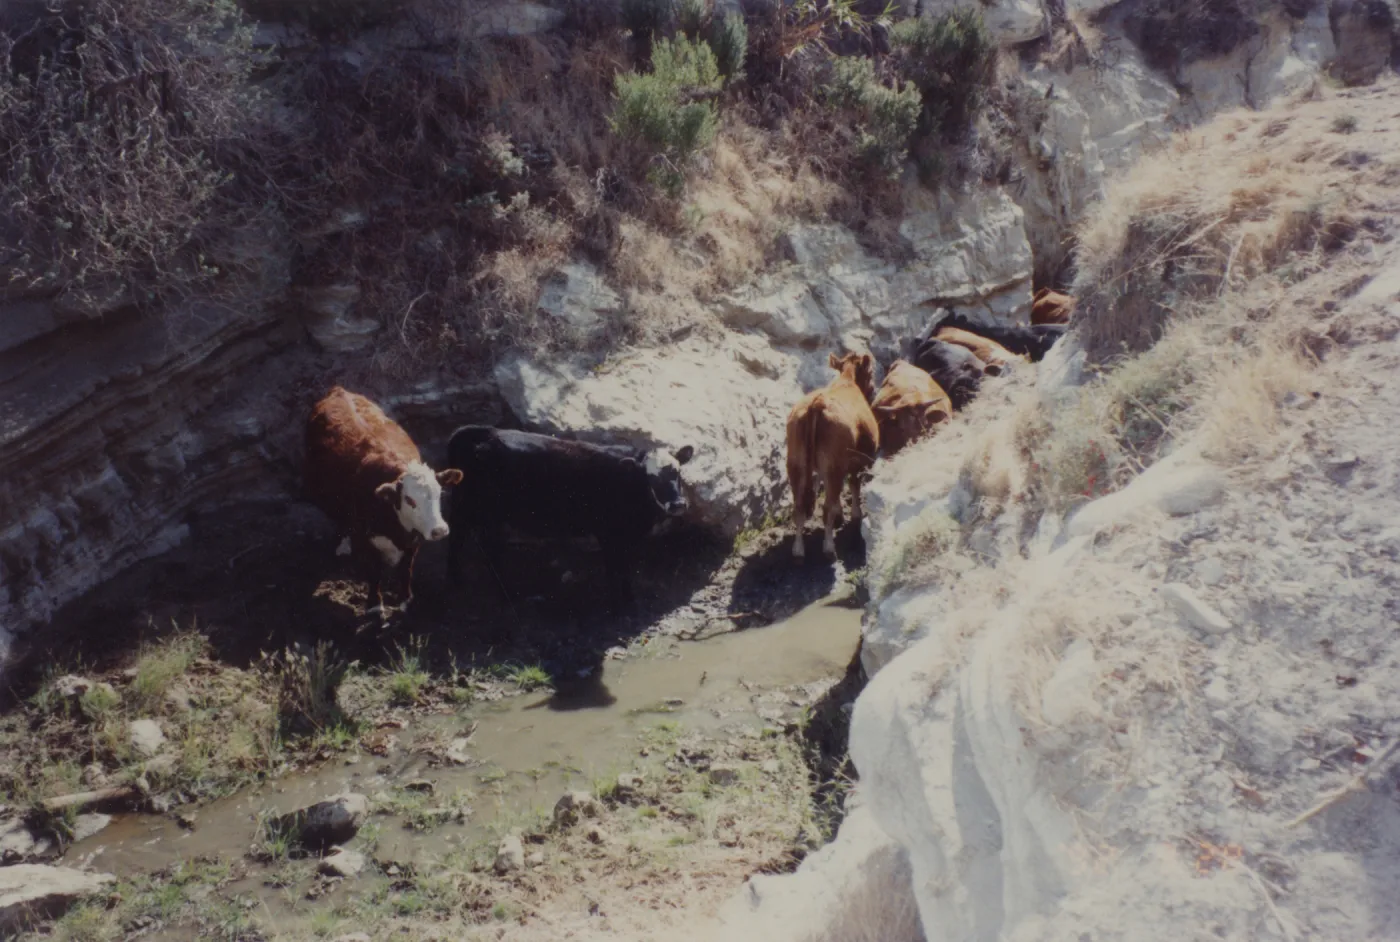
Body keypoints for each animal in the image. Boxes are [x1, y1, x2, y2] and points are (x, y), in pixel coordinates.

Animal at [303, 386, 463, 617]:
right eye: (409, 499)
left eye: (439, 493)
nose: (439, 530)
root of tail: (339, 390)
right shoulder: (364, 538)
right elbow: (374, 572)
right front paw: (374, 604)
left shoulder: (414, 540)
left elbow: (406, 570)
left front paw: (405, 599)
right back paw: (343, 545)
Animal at [445, 426, 695, 611]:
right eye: (650, 478)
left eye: (678, 472)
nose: (678, 505)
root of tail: (482, 432)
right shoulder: (607, 533)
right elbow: (615, 567)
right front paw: (620, 602)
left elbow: (624, 565)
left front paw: (628, 597)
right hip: (489, 513)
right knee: (489, 549)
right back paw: (509, 595)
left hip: (465, 507)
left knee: (456, 537)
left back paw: (457, 581)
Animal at [785, 351, 879, 561]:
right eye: (870, 373)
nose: (873, 390)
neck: (846, 380)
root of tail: (817, 403)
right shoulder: (856, 461)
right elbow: (853, 484)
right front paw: (854, 515)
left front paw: (840, 515)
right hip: (834, 465)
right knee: (826, 507)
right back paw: (829, 548)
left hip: (796, 464)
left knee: (799, 507)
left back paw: (798, 550)